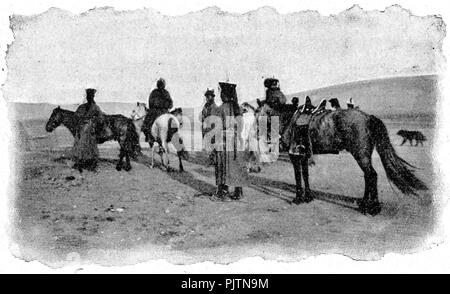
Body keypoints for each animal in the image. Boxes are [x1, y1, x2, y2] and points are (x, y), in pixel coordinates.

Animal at [255, 101, 428, 216]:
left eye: (257, 113)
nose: (255, 133)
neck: (289, 120)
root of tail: (367, 117)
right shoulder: (303, 155)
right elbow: (305, 175)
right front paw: (308, 197)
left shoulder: (294, 156)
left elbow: (298, 177)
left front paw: (297, 198)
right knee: (369, 176)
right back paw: (364, 204)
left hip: (360, 155)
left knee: (371, 175)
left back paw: (372, 208)